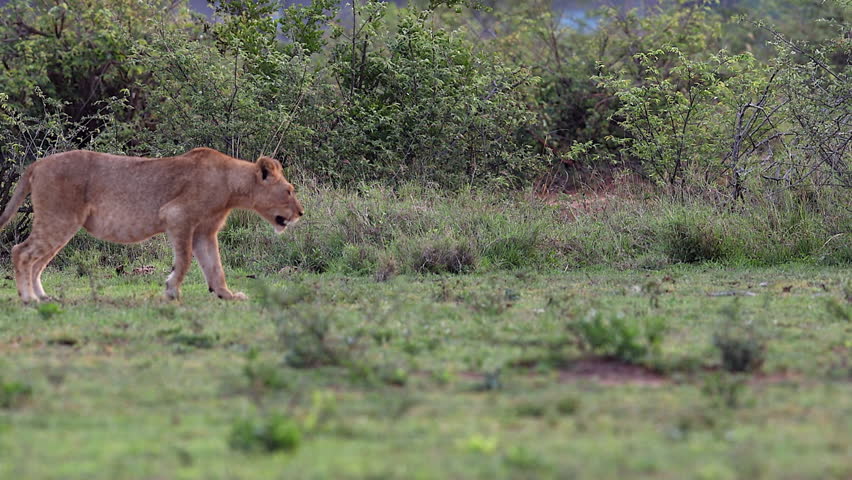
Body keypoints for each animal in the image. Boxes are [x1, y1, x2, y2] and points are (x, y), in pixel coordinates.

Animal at [0, 147, 303, 303]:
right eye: (288, 190)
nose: (301, 212)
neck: (232, 185)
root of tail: (37, 164)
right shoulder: (177, 216)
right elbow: (184, 261)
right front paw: (172, 291)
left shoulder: (205, 232)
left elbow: (215, 266)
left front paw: (226, 295)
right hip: (60, 218)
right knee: (21, 252)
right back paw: (28, 299)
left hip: (62, 223)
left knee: (38, 261)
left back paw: (43, 296)